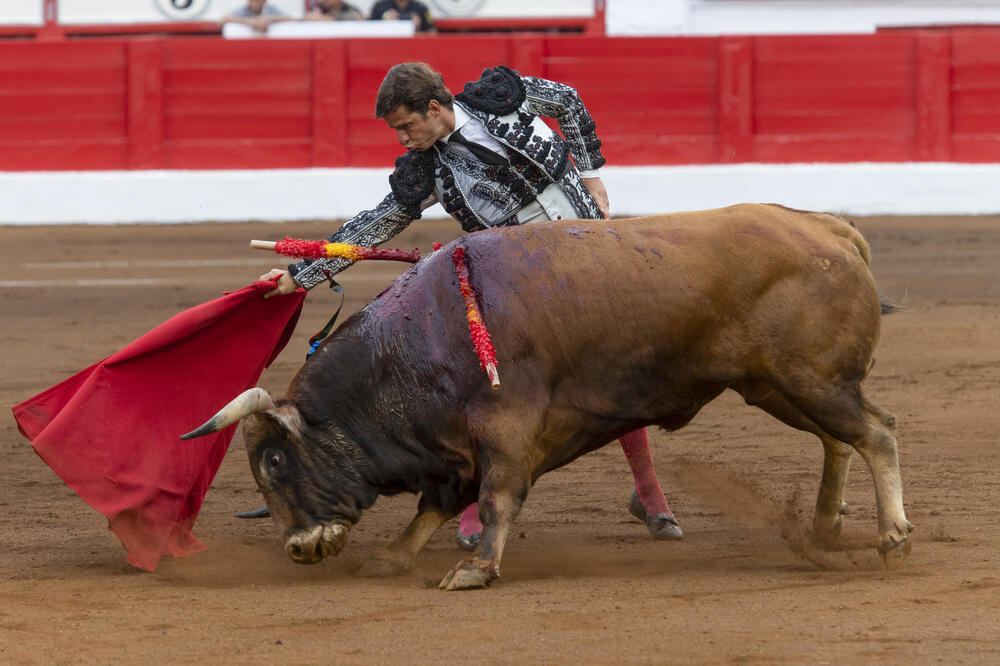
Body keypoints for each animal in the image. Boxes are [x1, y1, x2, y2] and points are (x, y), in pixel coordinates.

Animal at [184, 201, 912, 588]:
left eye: (276, 461)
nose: (297, 547)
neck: (420, 340)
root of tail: (830, 229)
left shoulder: (504, 428)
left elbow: (495, 497)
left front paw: (476, 570)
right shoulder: (454, 450)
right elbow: (434, 506)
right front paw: (394, 556)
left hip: (808, 379)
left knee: (875, 432)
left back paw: (892, 538)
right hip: (779, 385)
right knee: (839, 440)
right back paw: (822, 528)